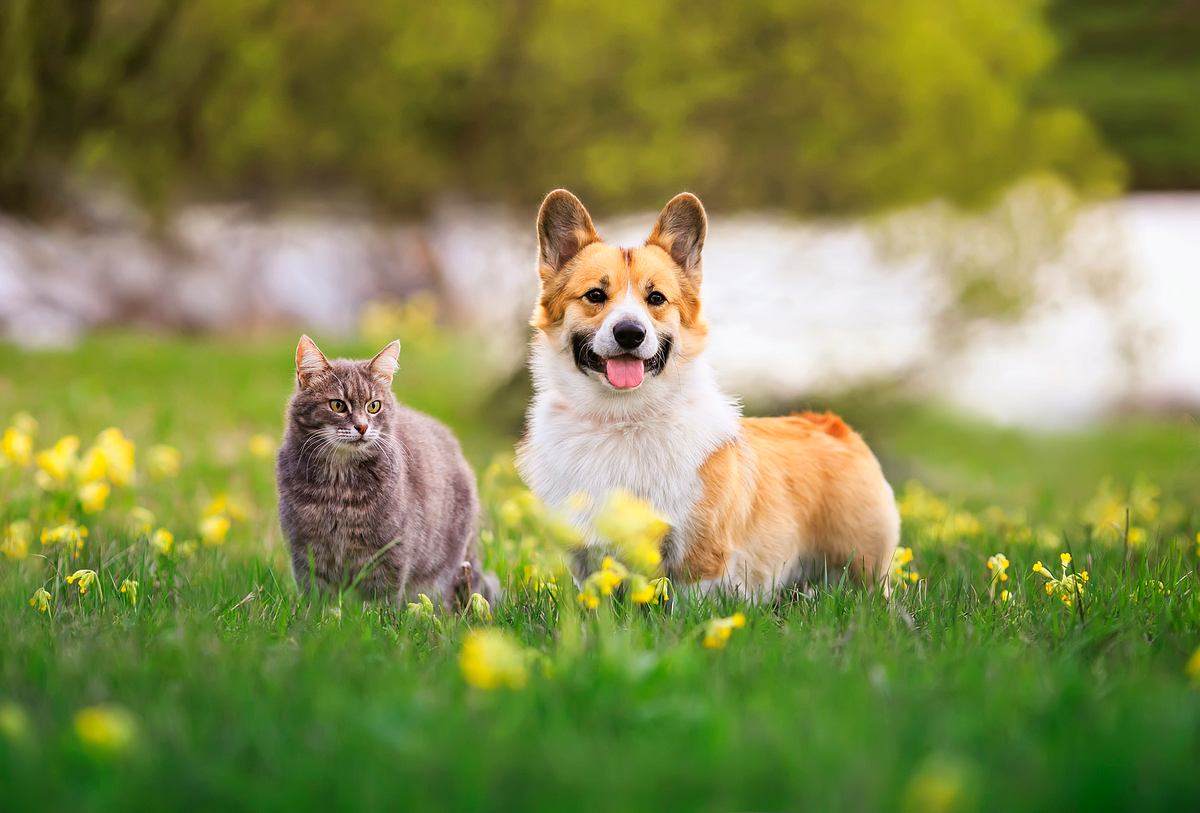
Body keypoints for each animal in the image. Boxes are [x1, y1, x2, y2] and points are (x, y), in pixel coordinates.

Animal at [276, 333, 496, 609]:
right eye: (337, 405)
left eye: (374, 406)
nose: (361, 427)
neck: (338, 486)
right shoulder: (306, 547)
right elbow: (317, 593)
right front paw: (321, 614)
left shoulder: (389, 549)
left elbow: (380, 596)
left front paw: (372, 615)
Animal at [516, 189, 902, 599]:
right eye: (595, 295)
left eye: (656, 298)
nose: (630, 333)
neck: (622, 419)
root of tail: (833, 426)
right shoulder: (586, 558)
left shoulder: (699, 556)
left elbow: (687, 603)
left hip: (862, 568)